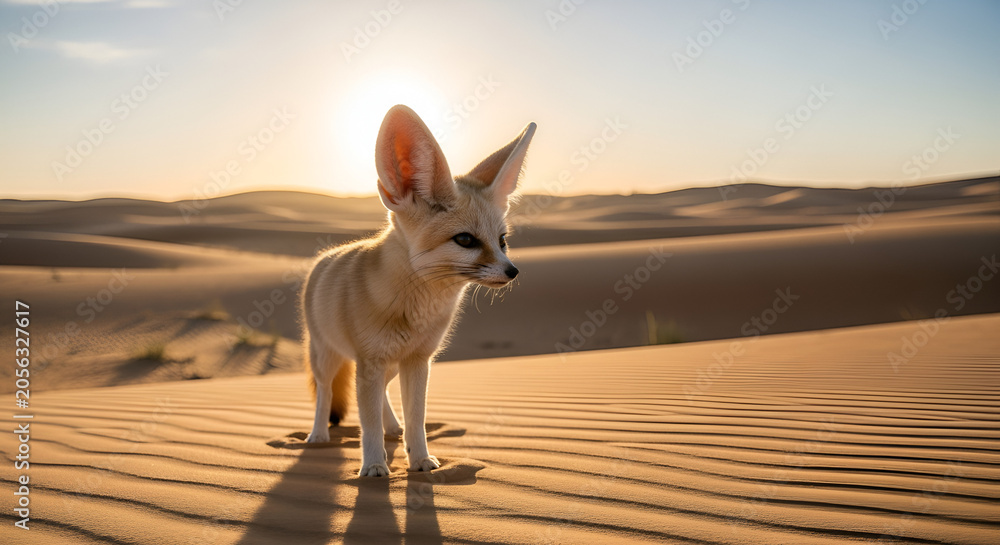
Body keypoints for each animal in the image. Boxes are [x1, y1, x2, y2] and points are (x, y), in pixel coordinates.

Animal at [301, 104, 536, 477]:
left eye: (502, 241)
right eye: (465, 240)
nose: (512, 272)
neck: (414, 310)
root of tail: (324, 257)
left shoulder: (417, 360)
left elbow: (417, 418)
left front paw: (421, 459)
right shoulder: (371, 361)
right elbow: (366, 423)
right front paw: (373, 465)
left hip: (388, 367)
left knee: (382, 395)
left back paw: (392, 428)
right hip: (327, 357)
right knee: (325, 392)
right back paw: (319, 434)